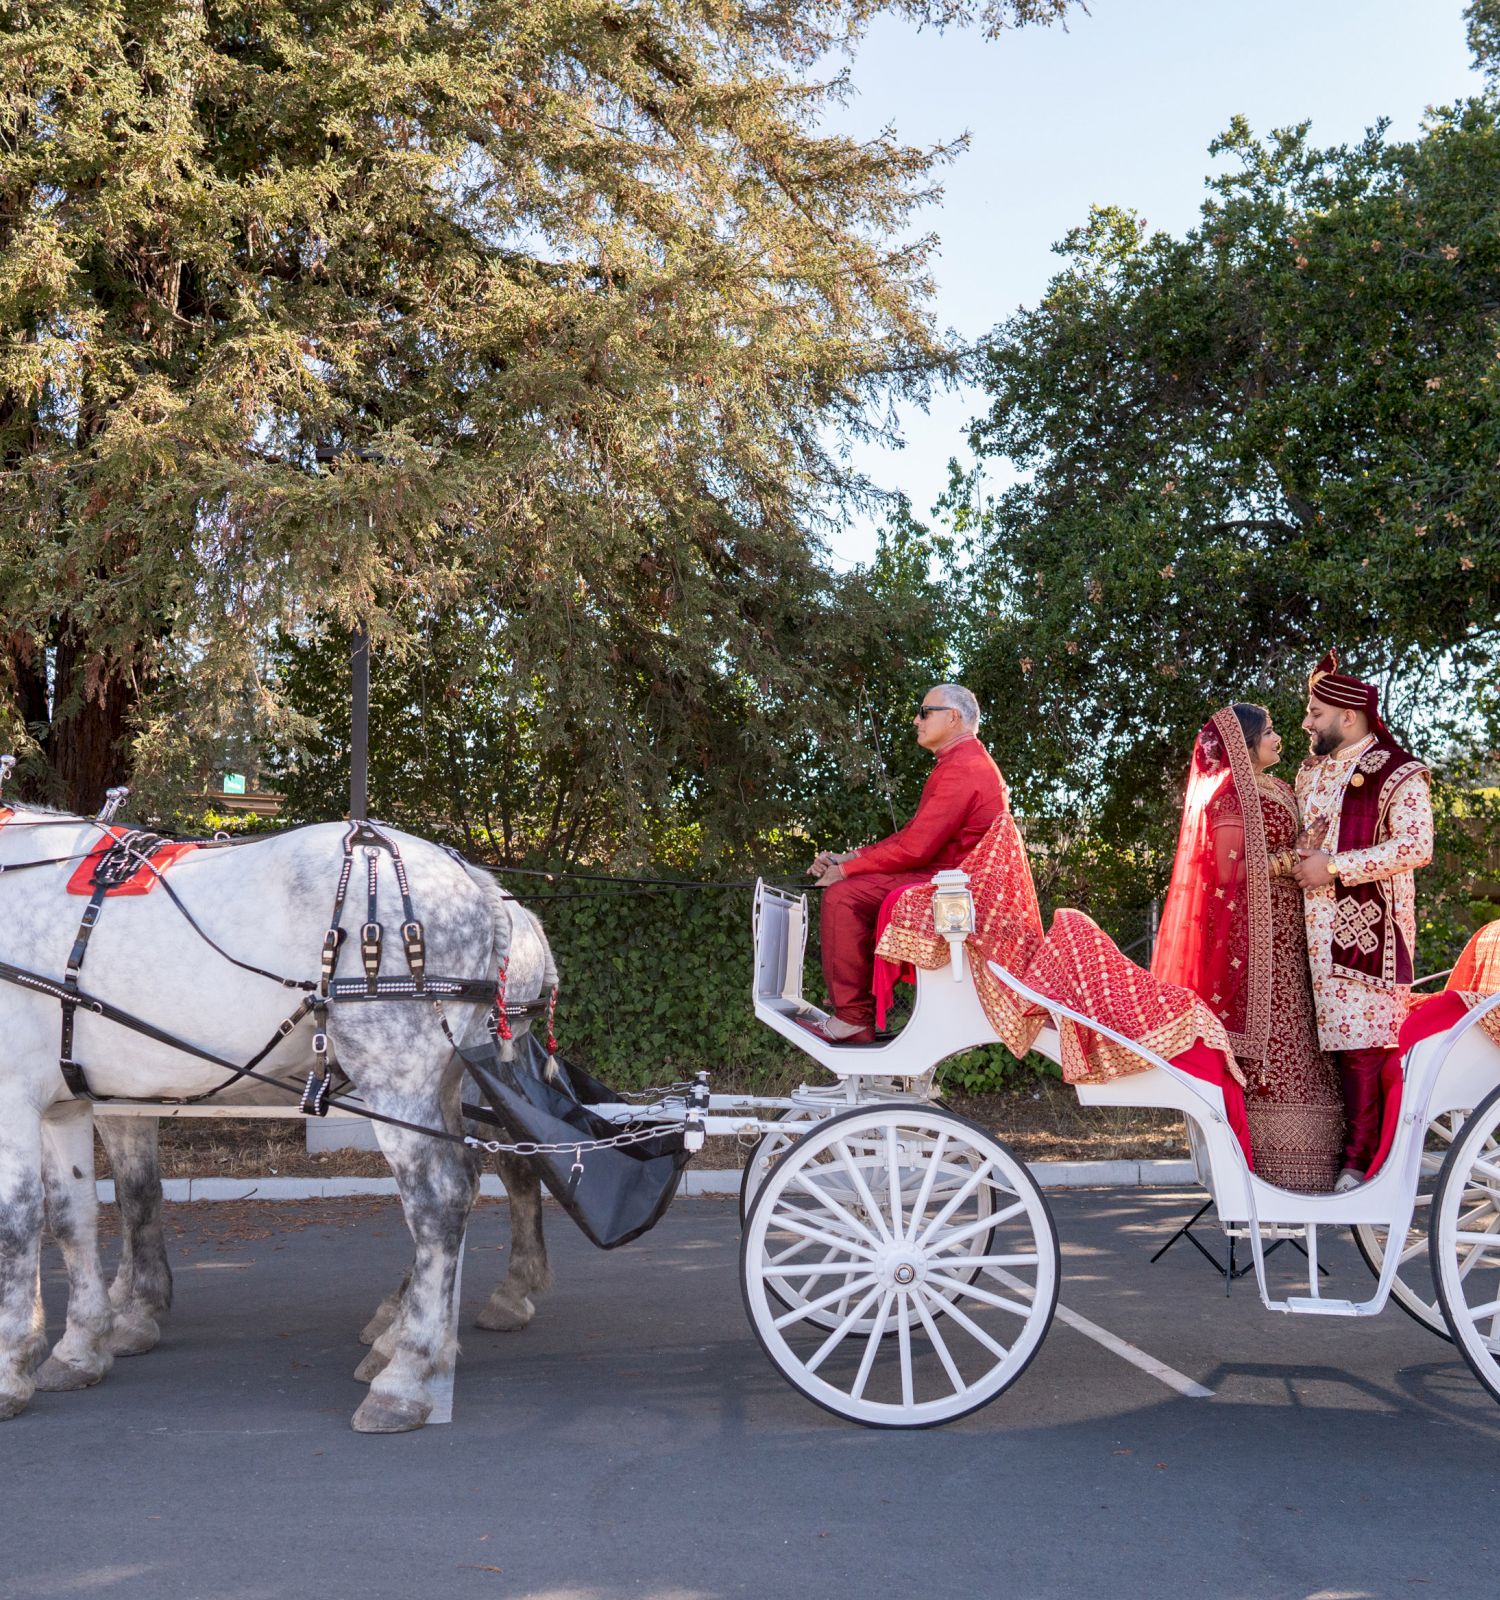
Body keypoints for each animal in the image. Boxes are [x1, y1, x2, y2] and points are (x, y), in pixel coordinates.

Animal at [0, 806, 553, 1433]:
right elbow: (74, 1217)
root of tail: (477, 885)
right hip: (446, 1080)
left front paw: (15, 1364)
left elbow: (20, 1223)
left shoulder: (19, 1093)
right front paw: (80, 1346)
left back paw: (407, 1372)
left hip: (397, 1077)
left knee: (442, 1200)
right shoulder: (66, 1102)